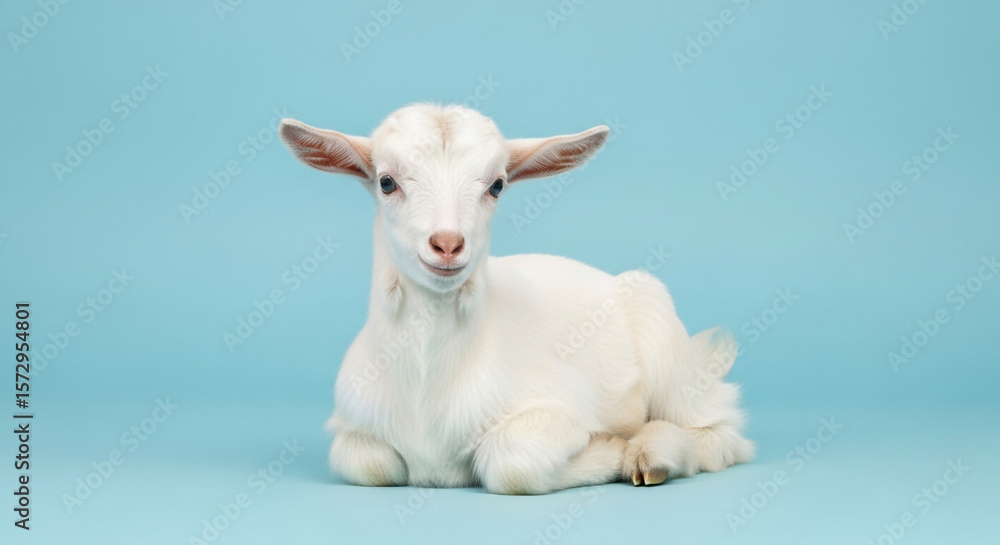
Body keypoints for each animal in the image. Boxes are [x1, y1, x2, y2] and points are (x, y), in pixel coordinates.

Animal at [278, 103, 753, 494]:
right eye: (386, 181)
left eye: (497, 186)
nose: (448, 244)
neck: (428, 386)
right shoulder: (354, 426)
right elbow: (366, 464)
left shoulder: (559, 407)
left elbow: (511, 464)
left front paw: (614, 451)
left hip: (666, 348)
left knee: (719, 431)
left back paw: (652, 455)